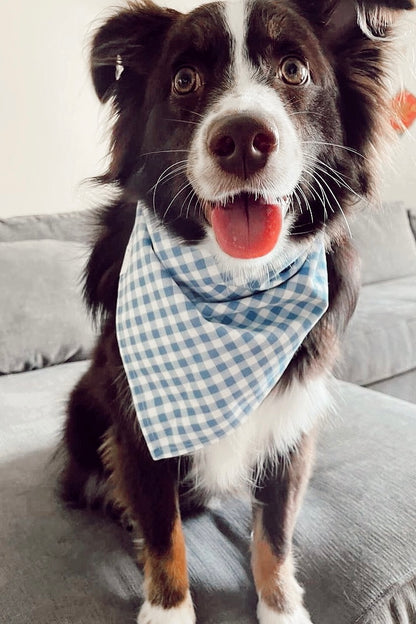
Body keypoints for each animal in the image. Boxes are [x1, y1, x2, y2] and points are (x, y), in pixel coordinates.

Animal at [60, 1, 414, 624]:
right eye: (183, 79)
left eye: (294, 70)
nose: (244, 139)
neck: (234, 285)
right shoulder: (136, 422)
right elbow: (163, 532)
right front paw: (168, 609)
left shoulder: (290, 420)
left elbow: (275, 532)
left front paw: (281, 608)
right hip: (82, 407)